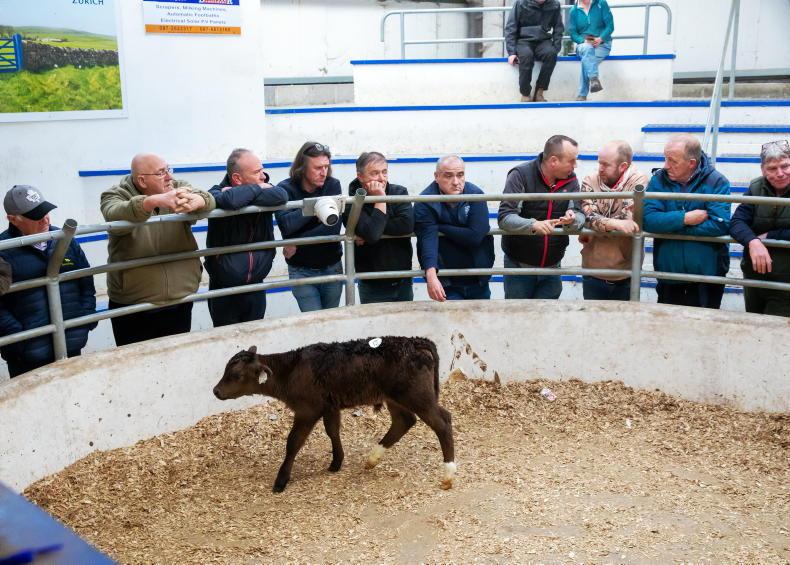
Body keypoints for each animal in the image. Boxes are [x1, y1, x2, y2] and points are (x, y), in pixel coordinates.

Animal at [213, 336, 456, 493]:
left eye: (235, 375)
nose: (215, 391)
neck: (290, 370)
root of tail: (417, 342)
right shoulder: (329, 407)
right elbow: (332, 431)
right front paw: (336, 462)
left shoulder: (307, 410)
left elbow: (293, 442)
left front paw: (281, 480)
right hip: (394, 397)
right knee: (403, 421)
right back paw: (372, 459)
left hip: (417, 396)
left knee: (442, 422)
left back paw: (448, 474)